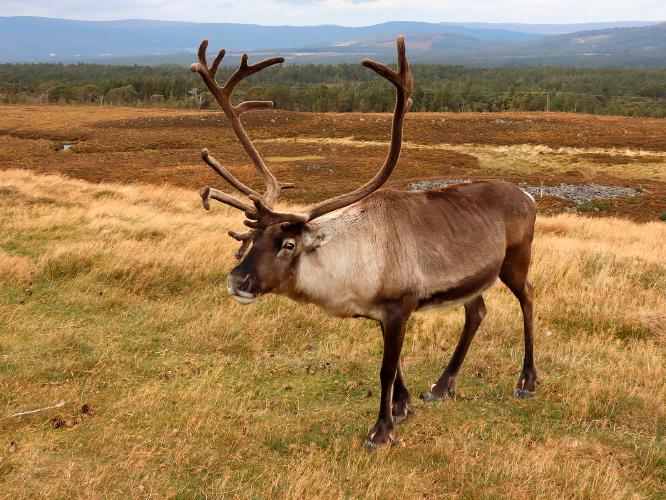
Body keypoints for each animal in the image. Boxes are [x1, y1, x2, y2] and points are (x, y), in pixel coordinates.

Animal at [190, 36, 538, 448]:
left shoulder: (401, 304)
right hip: (475, 279)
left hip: (515, 261)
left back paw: (527, 381)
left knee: (528, 297)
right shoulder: (382, 313)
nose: (237, 280)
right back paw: (442, 386)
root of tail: (529, 196)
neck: (352, 269)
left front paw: (381, 429)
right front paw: (403, 406)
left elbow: (386, 369)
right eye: (254, 237)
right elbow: (396, 365)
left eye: (288, 244)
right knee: (477, 311)